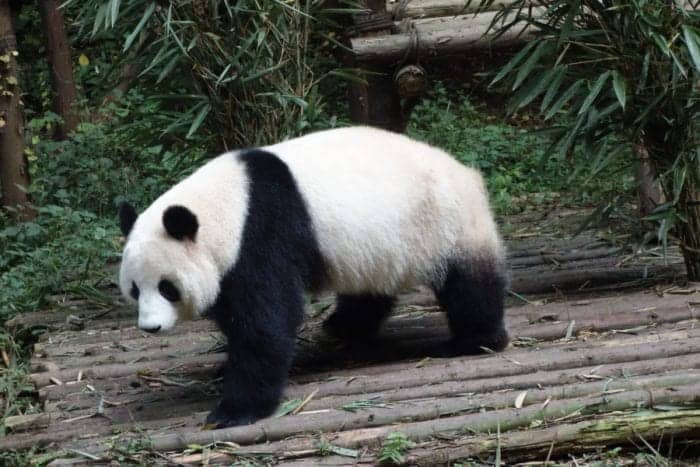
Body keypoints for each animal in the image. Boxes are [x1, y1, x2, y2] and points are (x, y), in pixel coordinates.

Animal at [118, 126, 508, 428]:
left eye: (167, 287)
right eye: (135, 289)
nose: (150, 327)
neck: (226, 205)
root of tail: (467, 174)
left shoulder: (263, 231)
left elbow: (267, 321)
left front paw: (234, 410)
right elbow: (236, 317)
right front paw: (225, 369)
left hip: (446, 224)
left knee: (469, 285)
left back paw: (474, 341)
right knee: (370, 286)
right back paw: (344, 326)